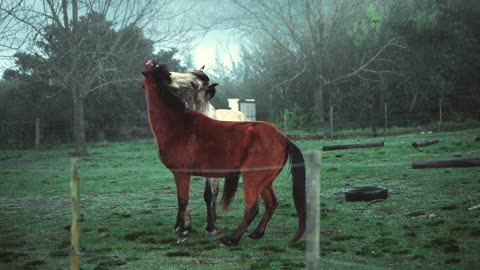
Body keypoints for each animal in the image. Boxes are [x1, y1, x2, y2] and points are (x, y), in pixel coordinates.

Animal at [141, 60, 306, 246]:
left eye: (193, 83)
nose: (170, 78)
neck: (178, 124)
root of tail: (283, 139)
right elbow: (184, 201)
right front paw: (183, 227)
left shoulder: (182, 174)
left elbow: (185, 200)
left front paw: (185, 232)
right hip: (264, 182)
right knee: (271, 204)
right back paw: (256, 233)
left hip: (252, 179)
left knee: (252, 209)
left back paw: (232, 239)